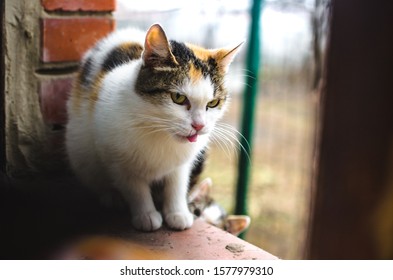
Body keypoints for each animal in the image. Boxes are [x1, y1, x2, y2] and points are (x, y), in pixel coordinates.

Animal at [65, 24, 242, 232]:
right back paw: (112, 197)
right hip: (80, 150)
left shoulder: (183, 163)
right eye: (178, 98)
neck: (159, 131)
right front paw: (146, 215)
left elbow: (177, 183)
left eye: (213, 103)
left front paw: (177, 213)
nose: (199, 126)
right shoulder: (119, 160)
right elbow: (135, 187)